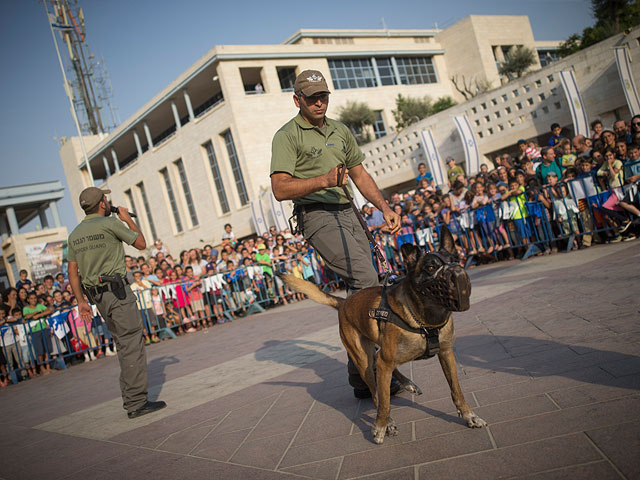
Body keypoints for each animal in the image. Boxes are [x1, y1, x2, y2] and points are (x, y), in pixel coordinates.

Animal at [280, 227, 484, 444]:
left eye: (456, 260)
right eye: (430, 267)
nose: (457, 274)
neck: (424, 321)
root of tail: (343, 303)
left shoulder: (446, 354)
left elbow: (457, 390)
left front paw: (469, 416)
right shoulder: (385, 363)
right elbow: (384, 402)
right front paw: (380, 426)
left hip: (379, 354)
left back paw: (407, 384)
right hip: (364, 361)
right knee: (376, 393)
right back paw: (388, 421)